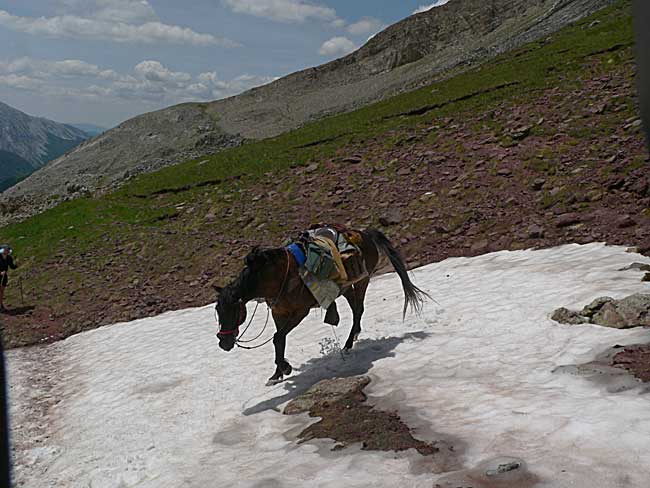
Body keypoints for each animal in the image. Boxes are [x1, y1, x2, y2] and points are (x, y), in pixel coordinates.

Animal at [213, 228, 426, 386]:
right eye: (217, 311)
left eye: (233, 310)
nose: (224, 343)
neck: (273, 277)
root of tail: (365, 234)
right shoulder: (278, 312)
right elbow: (279, 340)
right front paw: (277, 374)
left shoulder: (300, 312)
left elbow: (277, 338)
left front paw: (285, 368)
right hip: (345, 288)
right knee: (356, 308)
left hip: (362, 280)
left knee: (358, 310)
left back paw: (348, 345)